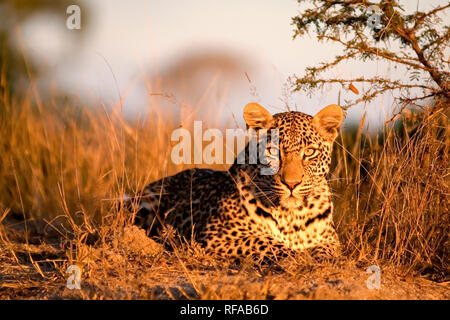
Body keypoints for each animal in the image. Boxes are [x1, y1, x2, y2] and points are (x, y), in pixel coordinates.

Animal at [126, 104, 344, 262]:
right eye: (273, 151)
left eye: (310, 152)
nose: (291, 183)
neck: (292, 217)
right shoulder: (216, 236)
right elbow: (265, 242)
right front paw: (297, 256)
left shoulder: (331, 239)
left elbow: (328, 249)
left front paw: (320, 257)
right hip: (146, 204)